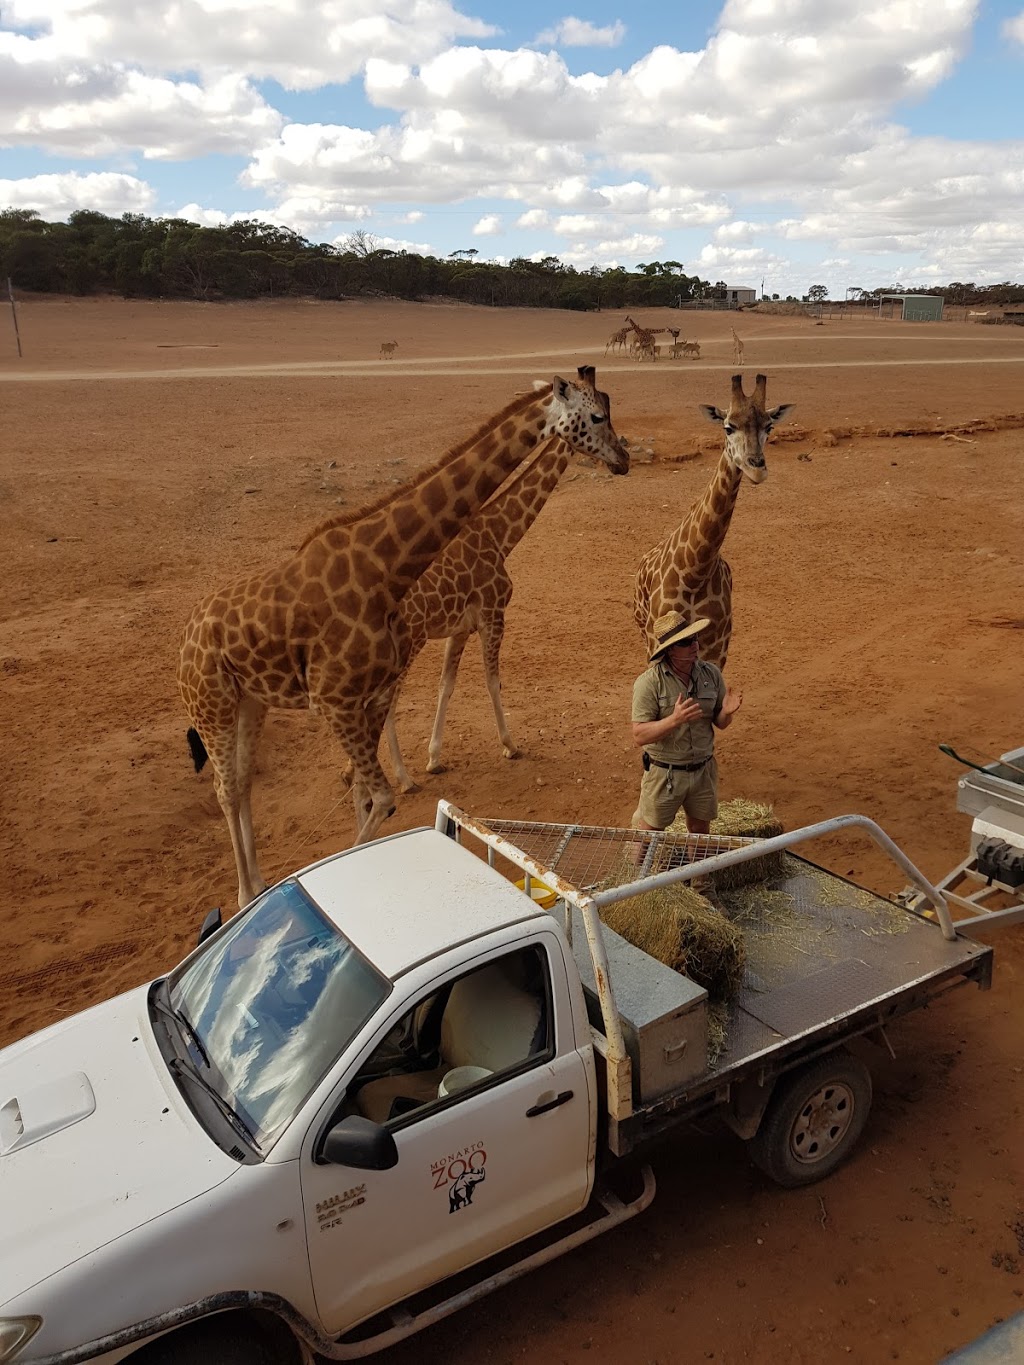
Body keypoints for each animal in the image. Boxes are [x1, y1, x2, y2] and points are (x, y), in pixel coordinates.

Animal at [180, 374, 630, 906]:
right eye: (597, 416)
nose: (623, 459)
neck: (382, 569)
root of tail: (186, 639)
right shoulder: (337, 698)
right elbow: (384, 796)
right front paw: (504, 747)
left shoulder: (370, 692)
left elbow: (369, 787)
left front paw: (429, 763)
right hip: (213, 706)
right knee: (225, 789)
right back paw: (247, 893)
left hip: (252, 702)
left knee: (244, 782)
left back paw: (258, 882)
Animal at [633, 374, 791, 671]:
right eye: (728, 427)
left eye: (769, 426)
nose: (757, 468)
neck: (695, 572)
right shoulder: (657, 638)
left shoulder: (719, 643)